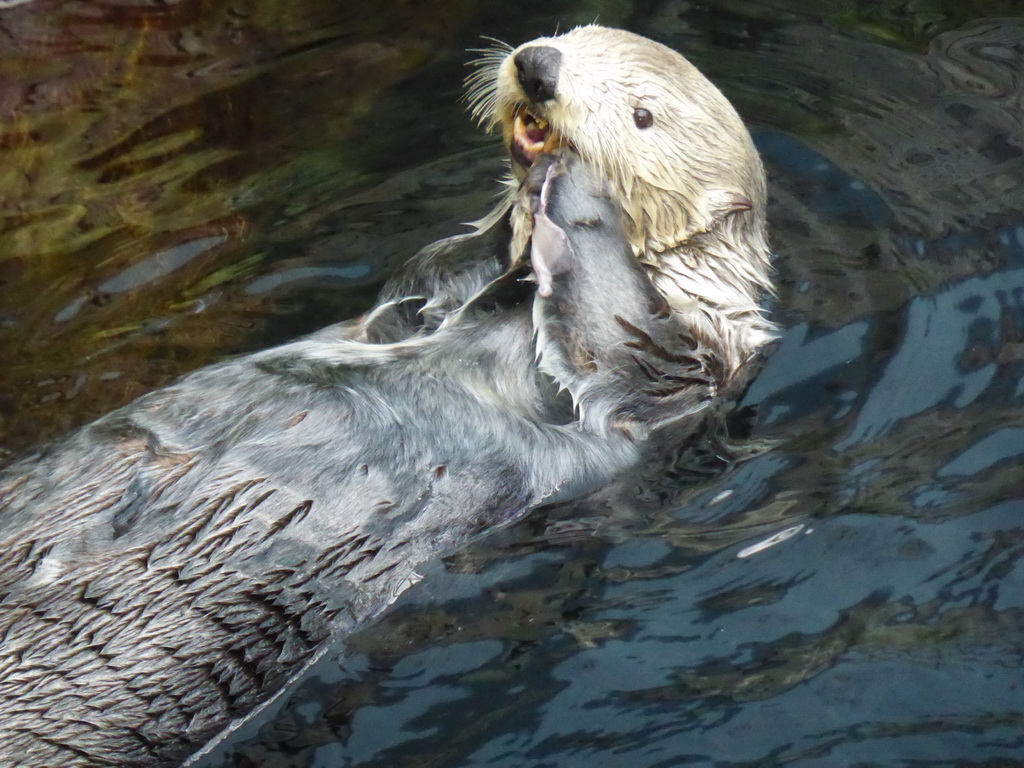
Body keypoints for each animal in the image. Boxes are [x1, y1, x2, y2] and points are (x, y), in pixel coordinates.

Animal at [0, 24, 770, 768]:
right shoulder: (420, 301)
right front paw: (512, 217)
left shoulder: (684, 364)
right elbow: (422, 285)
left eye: (642, 117)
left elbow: (616, 341)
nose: (538, 68)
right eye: (574, 34)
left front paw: (572, 192)